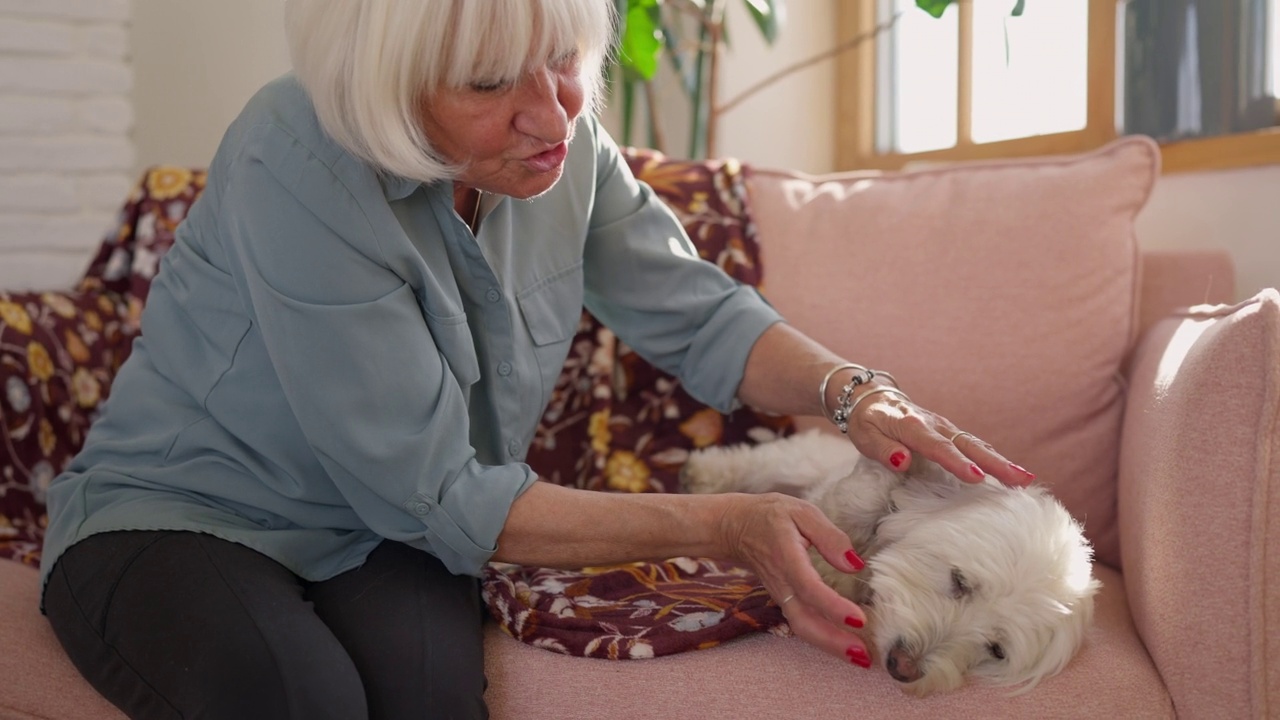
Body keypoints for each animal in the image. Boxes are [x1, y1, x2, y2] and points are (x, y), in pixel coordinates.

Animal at [680, 427, 1100, 691]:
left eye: (997, 650)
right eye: (959, 581)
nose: (904, 667)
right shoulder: (897, 468)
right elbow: (866, 496)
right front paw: (831, 563)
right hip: (801, 461)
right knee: (761, 461)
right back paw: (701, 473)